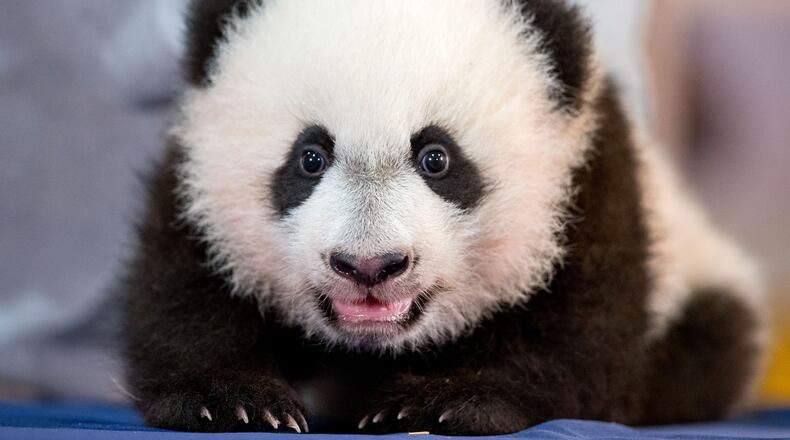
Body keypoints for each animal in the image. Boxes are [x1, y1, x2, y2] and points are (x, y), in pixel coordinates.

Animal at [121, 0, 767, 435]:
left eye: (437, 158)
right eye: (310, 157)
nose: (370, 266)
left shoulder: (589, 181)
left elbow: (580, 335)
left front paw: (440, 402)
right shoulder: (196, 181)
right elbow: (180, 289)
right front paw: (233, 398)